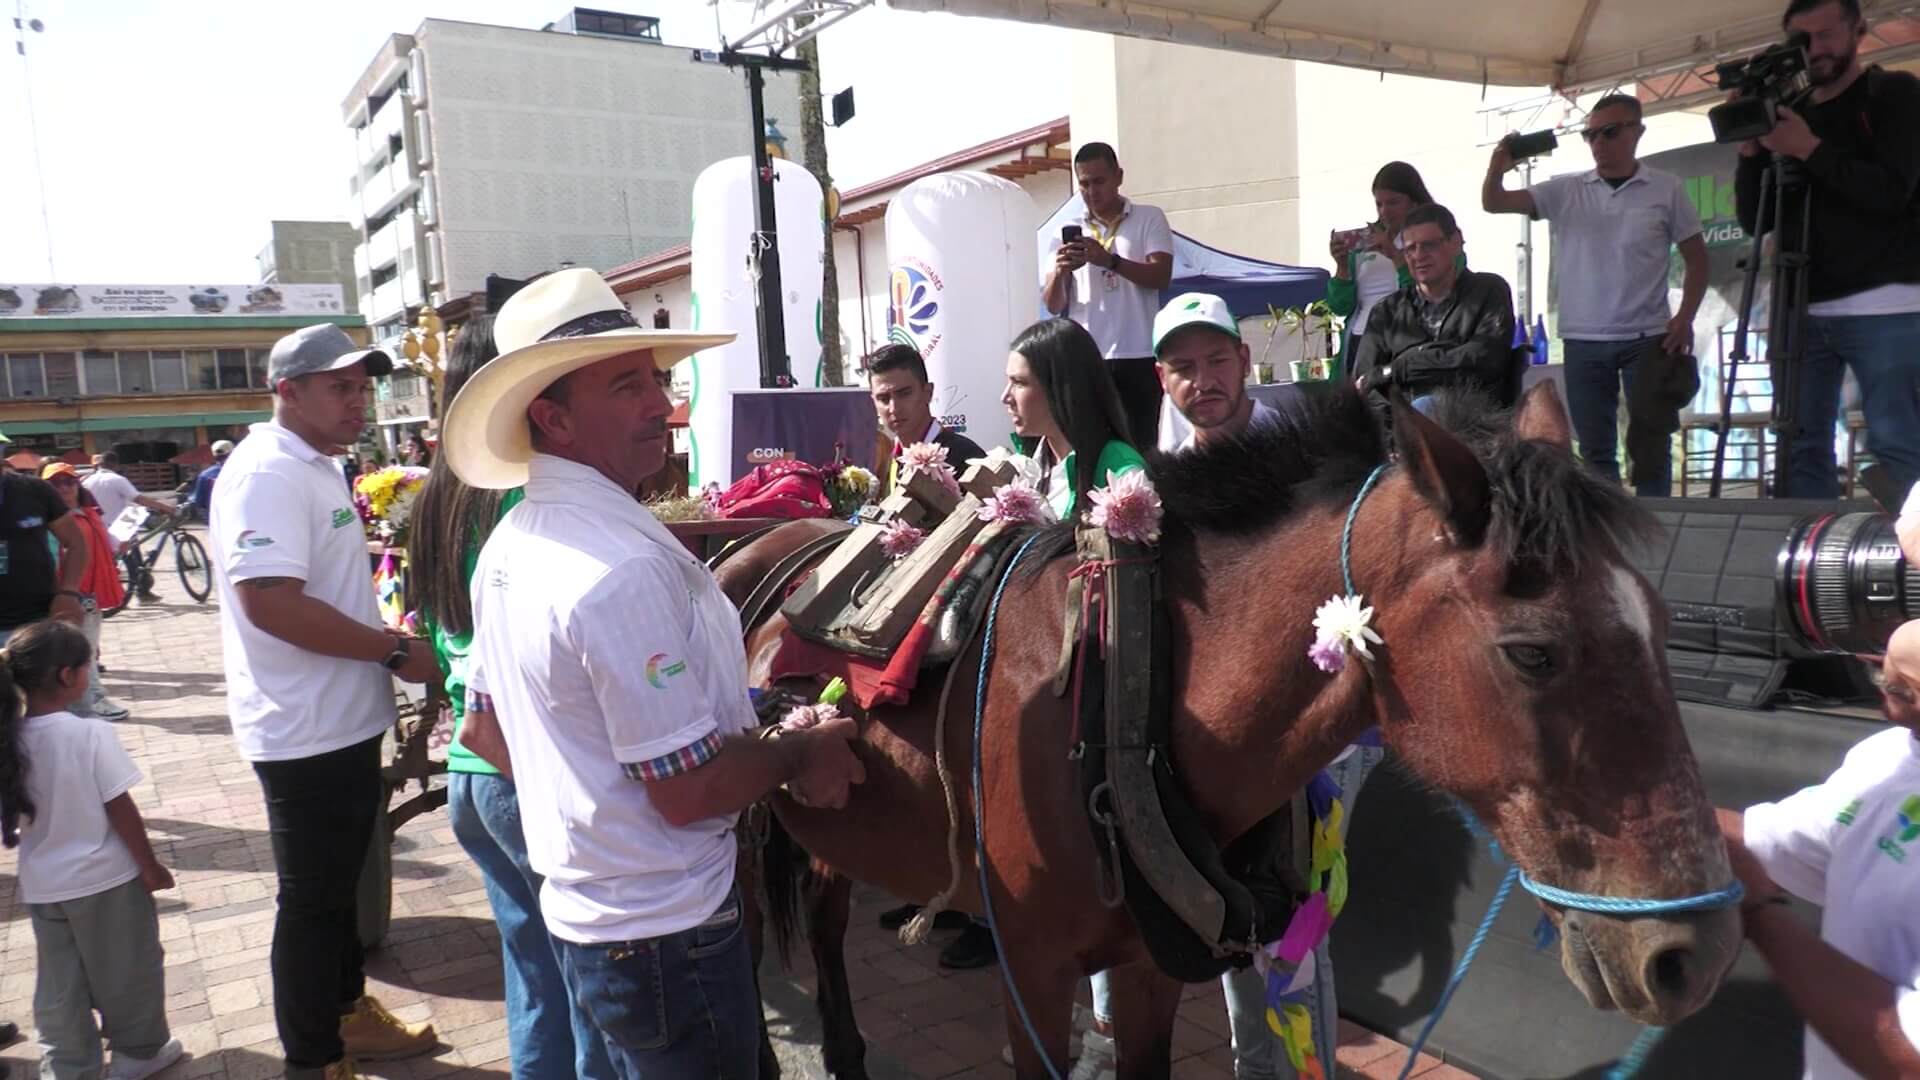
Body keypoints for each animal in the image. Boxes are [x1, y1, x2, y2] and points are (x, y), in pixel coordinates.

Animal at [718, 382, 1743, 1068]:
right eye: (1534, 653)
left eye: (1659, 621)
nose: (1692, 956)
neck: (1129, 696)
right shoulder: (1034, 973)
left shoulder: (1144, 968)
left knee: (823, 918)